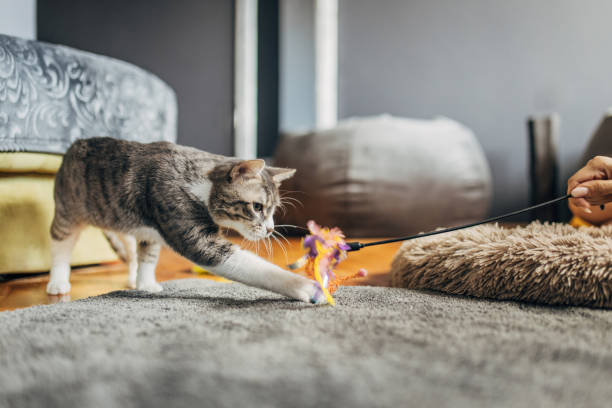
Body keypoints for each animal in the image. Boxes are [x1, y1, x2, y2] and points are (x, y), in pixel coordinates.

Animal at [46, 137, 326, 302]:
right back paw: (58, 282)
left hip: (125, 221)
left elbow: (149, 256)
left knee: (133, 249)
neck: (200, 183)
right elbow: (249, 265)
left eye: (273, 209)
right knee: (60, 244)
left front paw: (146, 284)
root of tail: (75, 143)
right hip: (67, 209)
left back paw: (135, 277)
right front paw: (306, 287)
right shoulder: (181, 218)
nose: (269, 230)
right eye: (257, 207)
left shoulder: (153, 228)